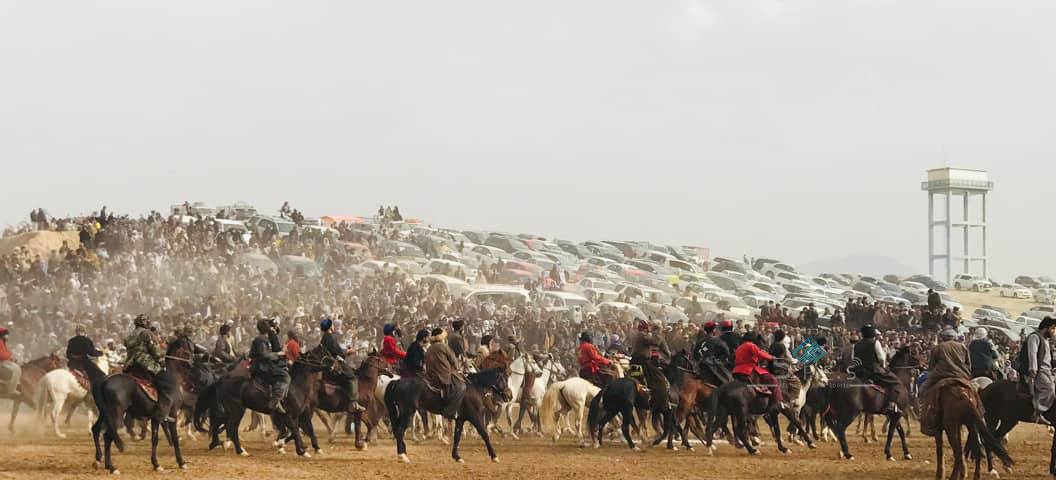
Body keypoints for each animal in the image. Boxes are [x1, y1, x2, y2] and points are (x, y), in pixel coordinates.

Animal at [90, 339, 194, 474]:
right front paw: (175, 463)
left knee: (96, 430)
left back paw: (98, 460)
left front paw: (163, 463)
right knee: (108, 436)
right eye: (188, 349)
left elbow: (160, 439)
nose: (192, 364)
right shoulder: (169, 415)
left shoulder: (157, 418)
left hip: (104, 414)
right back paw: (112, 467)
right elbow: (168, 439)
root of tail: (105, 381)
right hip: (116, 415)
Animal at [194, 346, 331, 457]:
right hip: (236, 410)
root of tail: (223, 379)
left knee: (220, 423)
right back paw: (239, 450)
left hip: (232, 410)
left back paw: (219, 444)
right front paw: (300, 451)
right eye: (317, 354)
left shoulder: (303, 415)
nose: (331, 365)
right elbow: (295, 431)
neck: (296, 386)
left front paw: (315, 448)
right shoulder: (289, 416)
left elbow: (309, 430)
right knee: (231, 428)